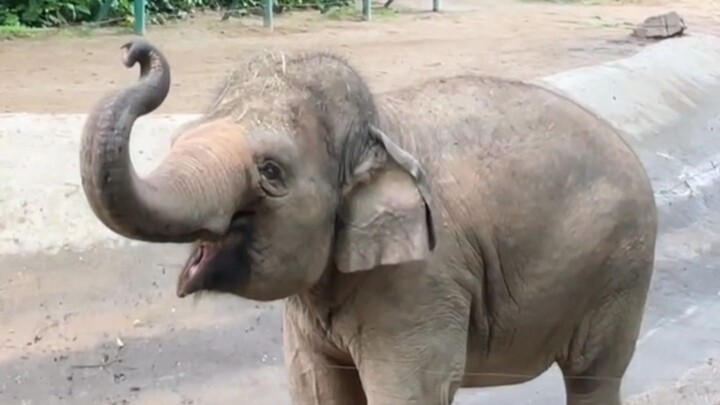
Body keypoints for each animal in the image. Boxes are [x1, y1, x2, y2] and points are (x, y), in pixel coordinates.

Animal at [79, 39, 658, 405]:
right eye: (178, 141)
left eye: (271, 172)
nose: (134, 53)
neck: (378, 132)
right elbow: (317, 388)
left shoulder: (421, 285)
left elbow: (408, 393)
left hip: (622, 268)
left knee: (593, 376)